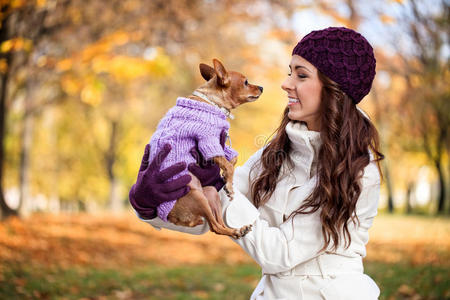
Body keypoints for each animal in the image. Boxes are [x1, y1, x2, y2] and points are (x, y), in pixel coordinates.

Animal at [150, 58, 264, 237]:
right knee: (215, 227)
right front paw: (229, 184)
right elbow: (228, 164)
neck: (213, 103)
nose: (261, 87)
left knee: (218, 224)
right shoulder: (208, 141)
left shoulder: (219, 143)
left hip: (210, 193)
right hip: (197, 196)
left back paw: (238, 230)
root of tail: (172, 217)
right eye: (246, 82)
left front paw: (226, 178)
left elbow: (233, 158)